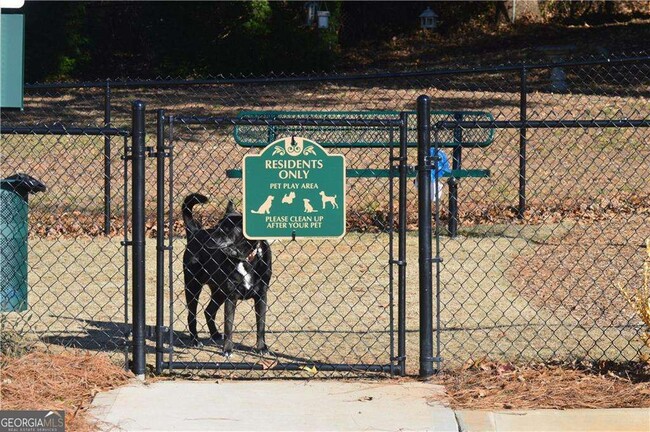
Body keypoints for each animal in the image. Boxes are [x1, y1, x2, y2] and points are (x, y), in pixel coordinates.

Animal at [182, 194, 270, 356]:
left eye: (226, 229)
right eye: (217, 226)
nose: (209, 239)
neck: (243, 259)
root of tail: (196, 232)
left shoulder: (261, 296)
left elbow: (261, 325)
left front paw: (262, 348)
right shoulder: (231, 296)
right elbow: (229, 325)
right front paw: (227, 349)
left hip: (218, 292)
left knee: (209, 311)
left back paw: (215, 334)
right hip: (193, 286)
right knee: (192, 315)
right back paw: (195, 340)